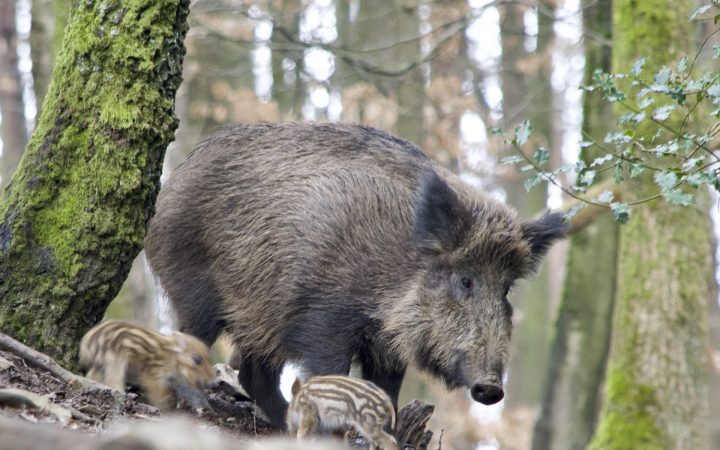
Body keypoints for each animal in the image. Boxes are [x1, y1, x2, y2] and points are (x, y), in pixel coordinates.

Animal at [79, 320, 214, 409]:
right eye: (197, 360)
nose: (213, 382)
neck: (171, 357)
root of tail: (86, 342)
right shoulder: (151, 374)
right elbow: (159, 394)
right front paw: (164, 408)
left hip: (100, 364)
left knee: (92, 376)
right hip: (115, 359)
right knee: (112, 381)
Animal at [143, 122, 565, 427]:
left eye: (506, 288)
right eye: (465, 280)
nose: (492, 388)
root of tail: (170, 184)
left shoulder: (388, 347)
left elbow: (388, 393)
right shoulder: (322, 320)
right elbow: (333, 376)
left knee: (253, 374)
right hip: (195, 291)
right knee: (190, 342)